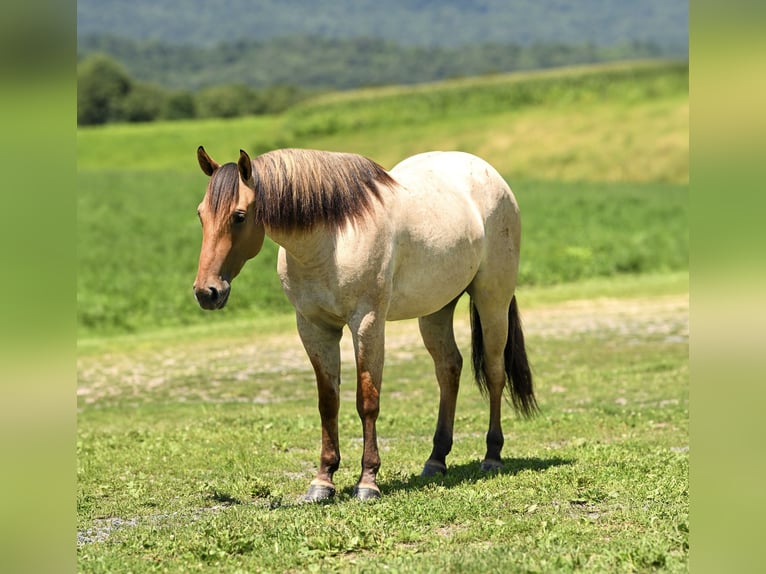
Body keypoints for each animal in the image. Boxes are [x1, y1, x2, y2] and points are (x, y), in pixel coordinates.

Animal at [193, 146, 536, 501]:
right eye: (201, 214)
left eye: (239, 216)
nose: (207, 292)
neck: (332, 238)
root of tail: (489, 173)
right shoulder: (313, 327)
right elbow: (328, 402)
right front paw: (322, 481)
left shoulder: (367, 322)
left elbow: (367, 400)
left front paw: (367, 482)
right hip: (436, 309)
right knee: (449, 370)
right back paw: (435, 460)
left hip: (492, 300)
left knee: (495, 373)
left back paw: (492, 456)